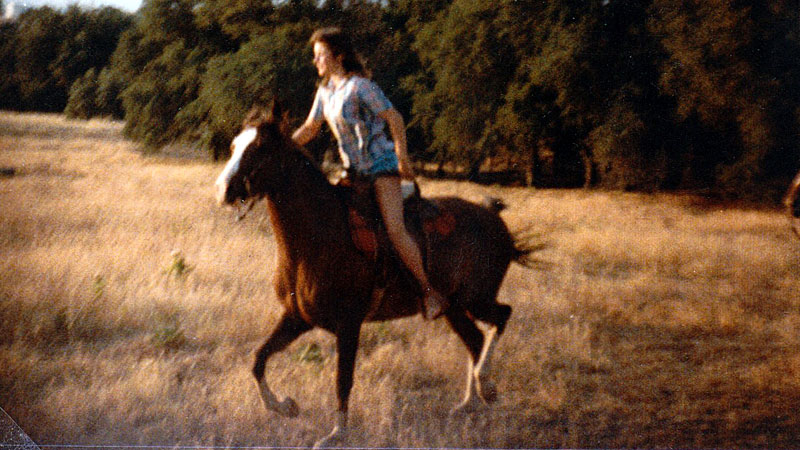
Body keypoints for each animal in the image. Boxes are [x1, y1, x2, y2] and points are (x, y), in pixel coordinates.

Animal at [216, 102, 532, 446]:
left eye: (260, 148)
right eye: (234, 146)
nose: (223, 190)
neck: (321, 234)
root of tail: (494, 218)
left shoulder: (349, 323)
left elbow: (342, 379)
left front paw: (336, 434)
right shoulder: (297, 317)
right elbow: (258, 359)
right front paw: (286, 406)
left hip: (476, 299)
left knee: (502, 316)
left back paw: (486, 385)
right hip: (454, 308)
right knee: (475, 341)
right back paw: (471, 402)